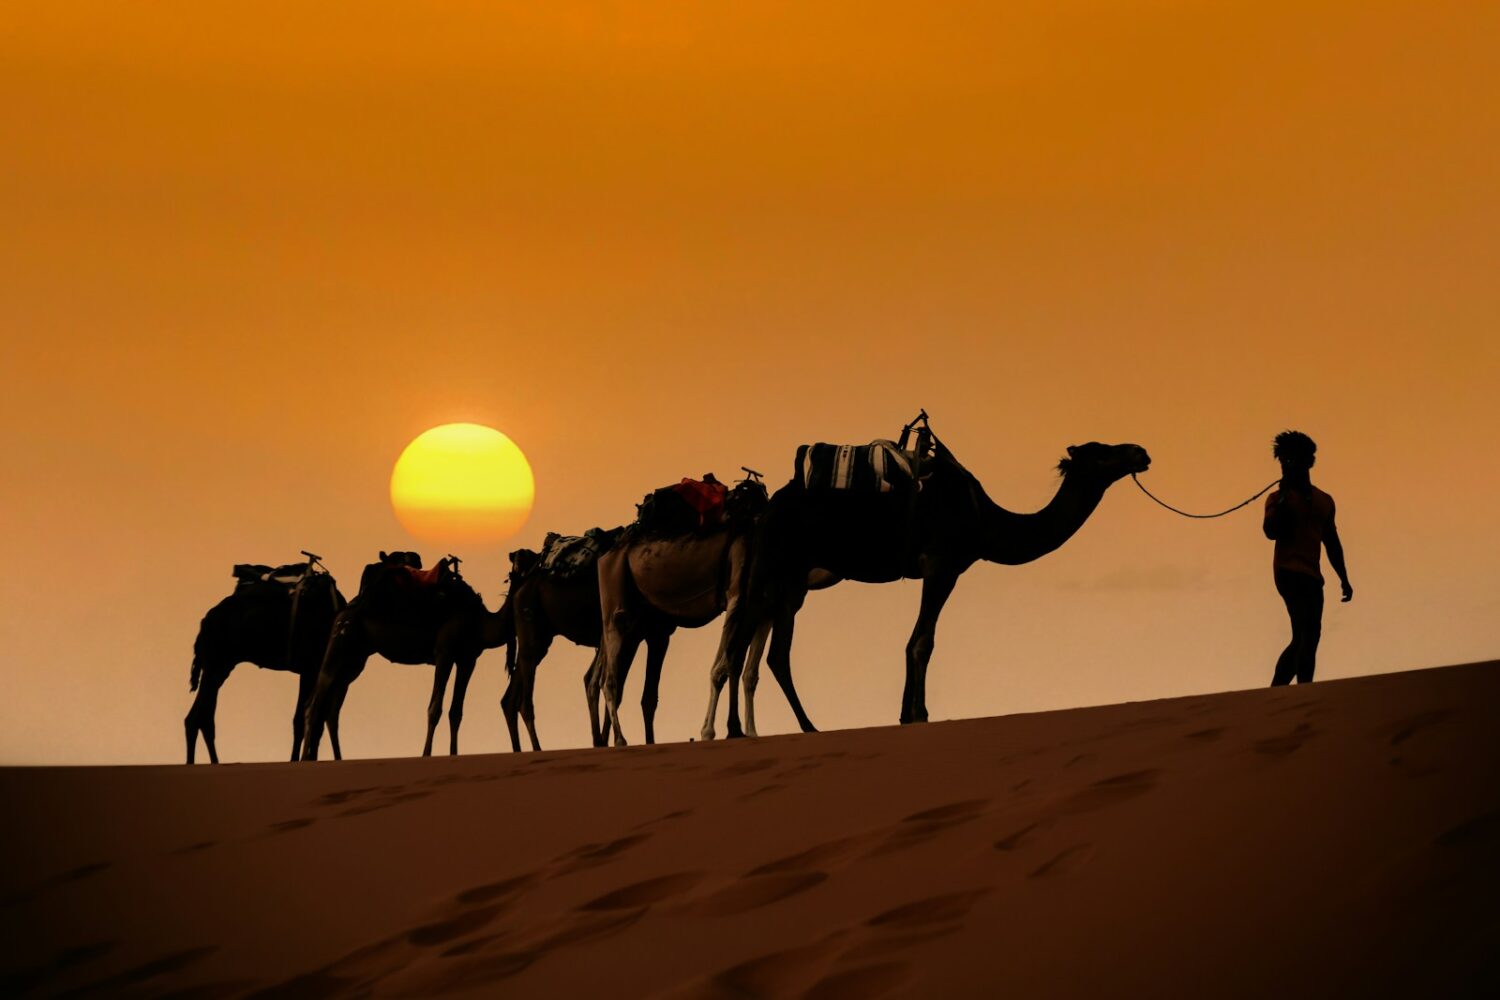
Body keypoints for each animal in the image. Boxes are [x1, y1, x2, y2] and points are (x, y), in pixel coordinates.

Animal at [185, 560, 346, 764]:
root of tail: (205, 621)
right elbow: (303, 720)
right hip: (216, 663)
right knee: (196, 718)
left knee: (202, 718)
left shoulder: (316, 672)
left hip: (220, 667)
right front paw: (296, 761)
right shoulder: (311, 668)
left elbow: (313, 722)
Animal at [298, 552, 512, 761]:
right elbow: (435, 709)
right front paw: (426, 755)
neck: (479, 619)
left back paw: (339, 759)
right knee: (313, 704)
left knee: (332, 710)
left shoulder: (468, 660)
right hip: (340, 640)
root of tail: (346, 608)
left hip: (356, 658)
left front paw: (454, 755)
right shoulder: (445, 653)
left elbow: (456, 713)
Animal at [715, 436, 1152, 737]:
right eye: (1101, 451)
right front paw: (919, 715)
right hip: (774, 567)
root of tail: (766, 508)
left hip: (790, 582)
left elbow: (916, 640)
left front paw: (905, 714)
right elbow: (922, 641)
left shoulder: (941, 568)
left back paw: (801, 726)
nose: (1141, 452)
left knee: (771, 653)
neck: (984, 520)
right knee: (742, 646)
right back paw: (741, 730)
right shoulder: (943, 565)